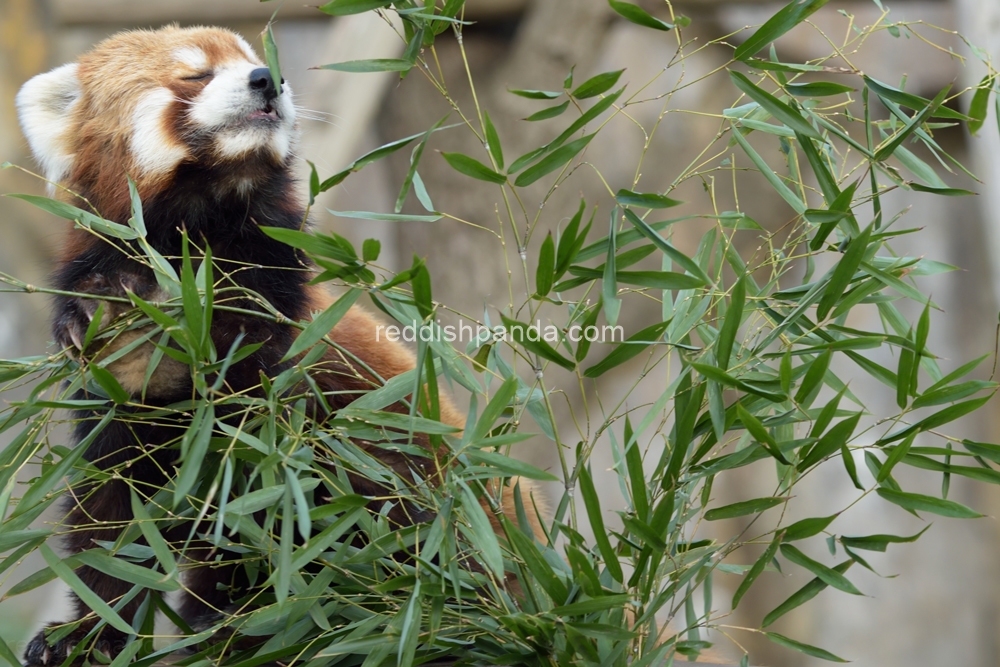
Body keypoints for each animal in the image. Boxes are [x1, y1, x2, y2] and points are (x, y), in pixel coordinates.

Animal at [13, 23, 540, 664]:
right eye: (196, 74)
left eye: (253, 61)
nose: (267, 78)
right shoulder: (109, 398)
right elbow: (113, 524)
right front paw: (84, 637)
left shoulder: (276, 347)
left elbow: (261, 497)